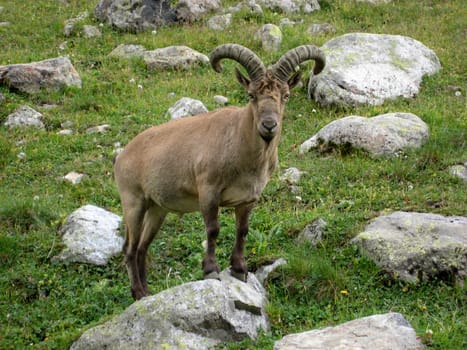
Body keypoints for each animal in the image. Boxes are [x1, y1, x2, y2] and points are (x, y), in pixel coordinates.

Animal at [113, 42, 326, 300]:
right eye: (251, 95)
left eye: (285, 95)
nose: (269, 125)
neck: (239, 145)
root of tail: (122, 156)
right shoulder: (208, 190)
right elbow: (213, 229)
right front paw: (211, 270)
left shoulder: (248, 198)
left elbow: (242, 230)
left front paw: (239, 269)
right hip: (133, 200)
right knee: (130, 247)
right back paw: (138, 292)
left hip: (157, 208)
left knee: (143, 246)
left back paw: (146, 292)